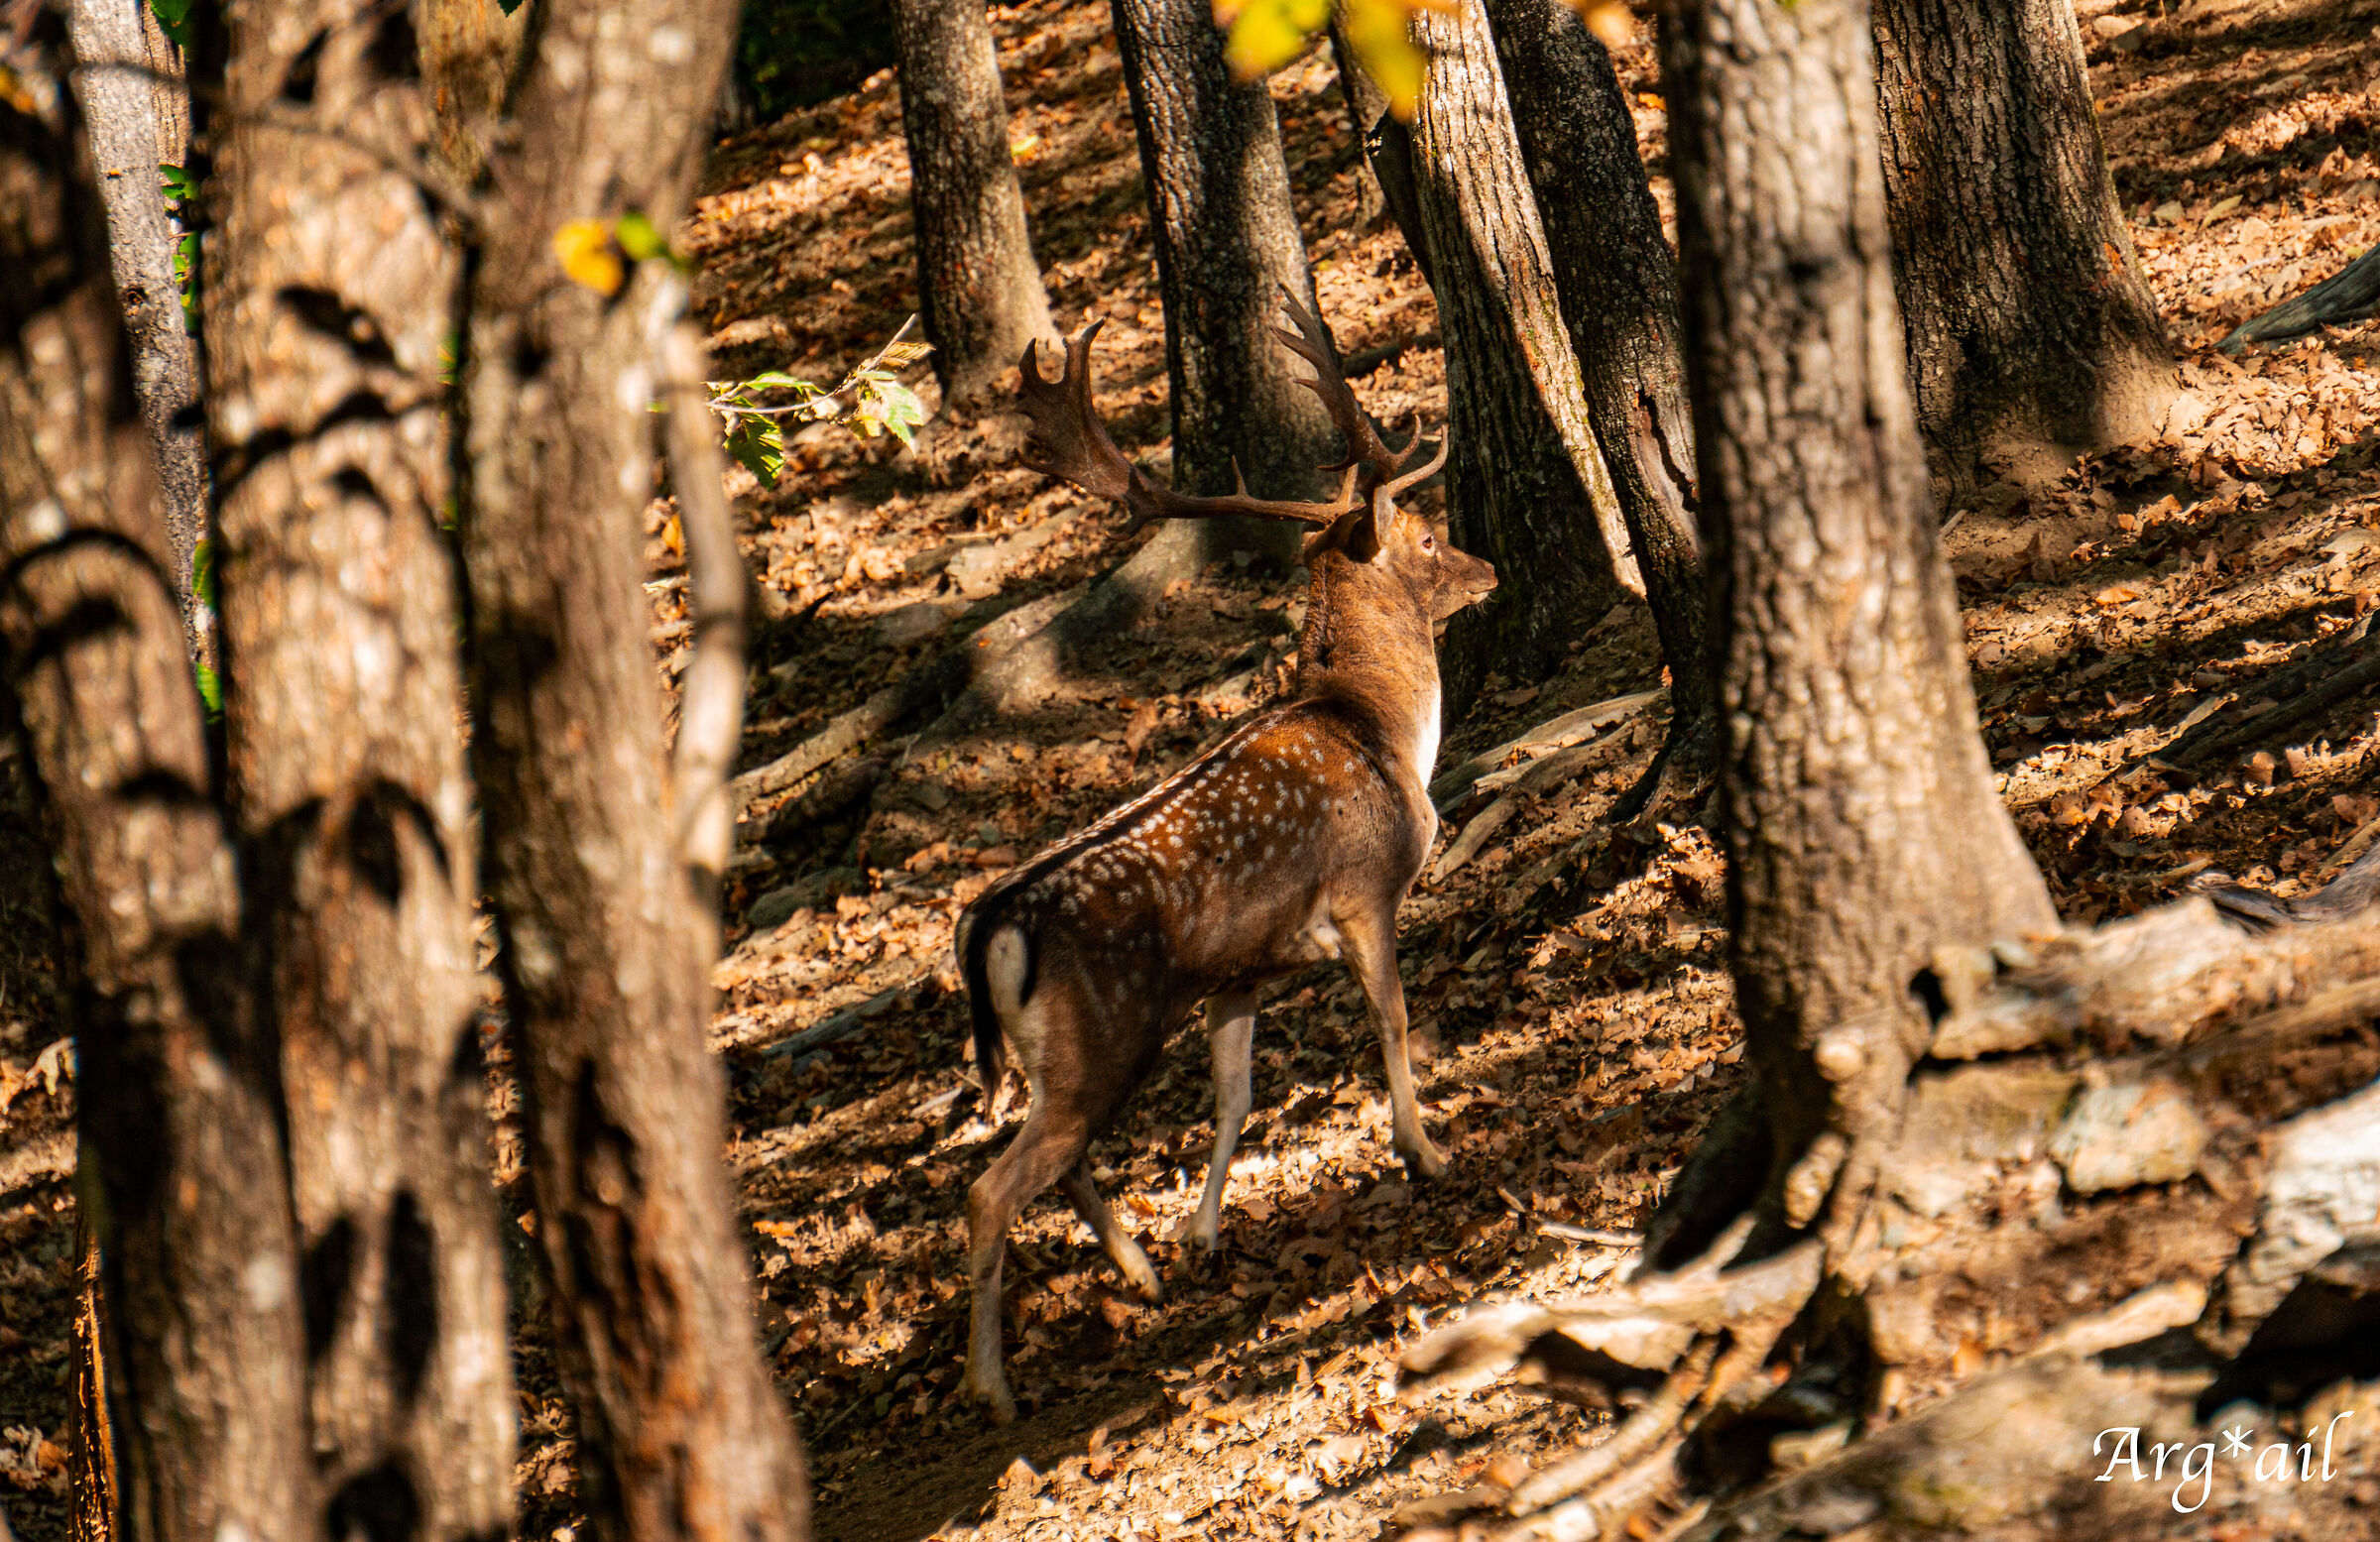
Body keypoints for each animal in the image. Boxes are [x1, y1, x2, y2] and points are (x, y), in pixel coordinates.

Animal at [952, 292, 1497, 1423]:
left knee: (1056, 1158)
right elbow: (1392, 1018)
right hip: (1103, 1030)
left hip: (1074, 1050)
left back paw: (1143, 1270)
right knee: (990, 1187)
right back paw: (994, 1385)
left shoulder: (1240, 968)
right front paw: (1427, 1149)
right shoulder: (1365, 890)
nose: (1489, 566)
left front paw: (1203, 1232)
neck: (1386, 730)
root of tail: (991, 925)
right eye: (1427, 533)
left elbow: (1235, 1093)